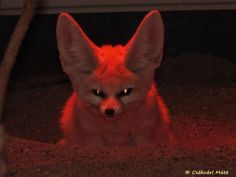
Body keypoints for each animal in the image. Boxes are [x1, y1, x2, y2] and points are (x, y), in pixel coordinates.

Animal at [57, 10, 171, 147]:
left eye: (126, 91)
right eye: (98, 92)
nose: (109, 111)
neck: (116, 133)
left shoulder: (143, 133)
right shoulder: (92, 136)